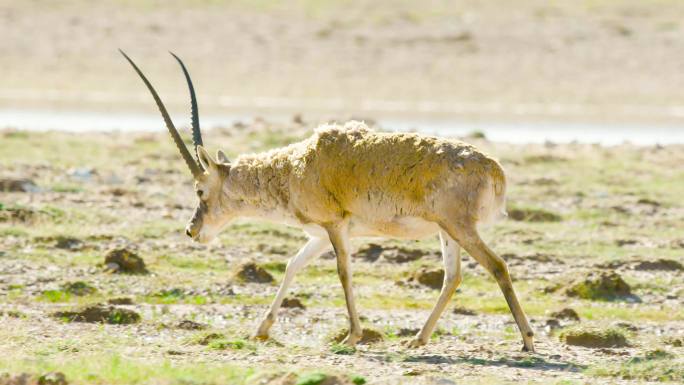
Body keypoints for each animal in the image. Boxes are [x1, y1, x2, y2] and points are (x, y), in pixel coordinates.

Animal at [120, 50, 536, 352]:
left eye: (200, 191)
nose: (192, 231)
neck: (294, 167)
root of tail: (494, 168)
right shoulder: (319, 235)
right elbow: (292, 266)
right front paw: (261, 329)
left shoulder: (336, 227)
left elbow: (343, 272)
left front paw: (351, 337)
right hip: (447, 231)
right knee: (453, 276)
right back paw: (418, 339)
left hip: (459, 227)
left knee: (497, 266)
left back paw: (527, 342)